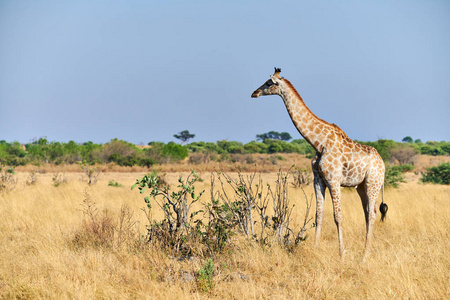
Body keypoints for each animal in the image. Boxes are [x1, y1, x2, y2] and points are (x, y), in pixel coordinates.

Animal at [251, 68, 388, 258]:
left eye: (269, 82)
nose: (254, 93)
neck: (318, 143)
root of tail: (383, 164)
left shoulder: (333, 180)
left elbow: (338, 216)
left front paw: (342, 253)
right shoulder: (318, 179)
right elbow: (319, 215)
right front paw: (315, 248)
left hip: (372, 183)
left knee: (372, 214)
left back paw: (364, 255)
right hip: (360, 186)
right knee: (369, 212)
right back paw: (365, 250)